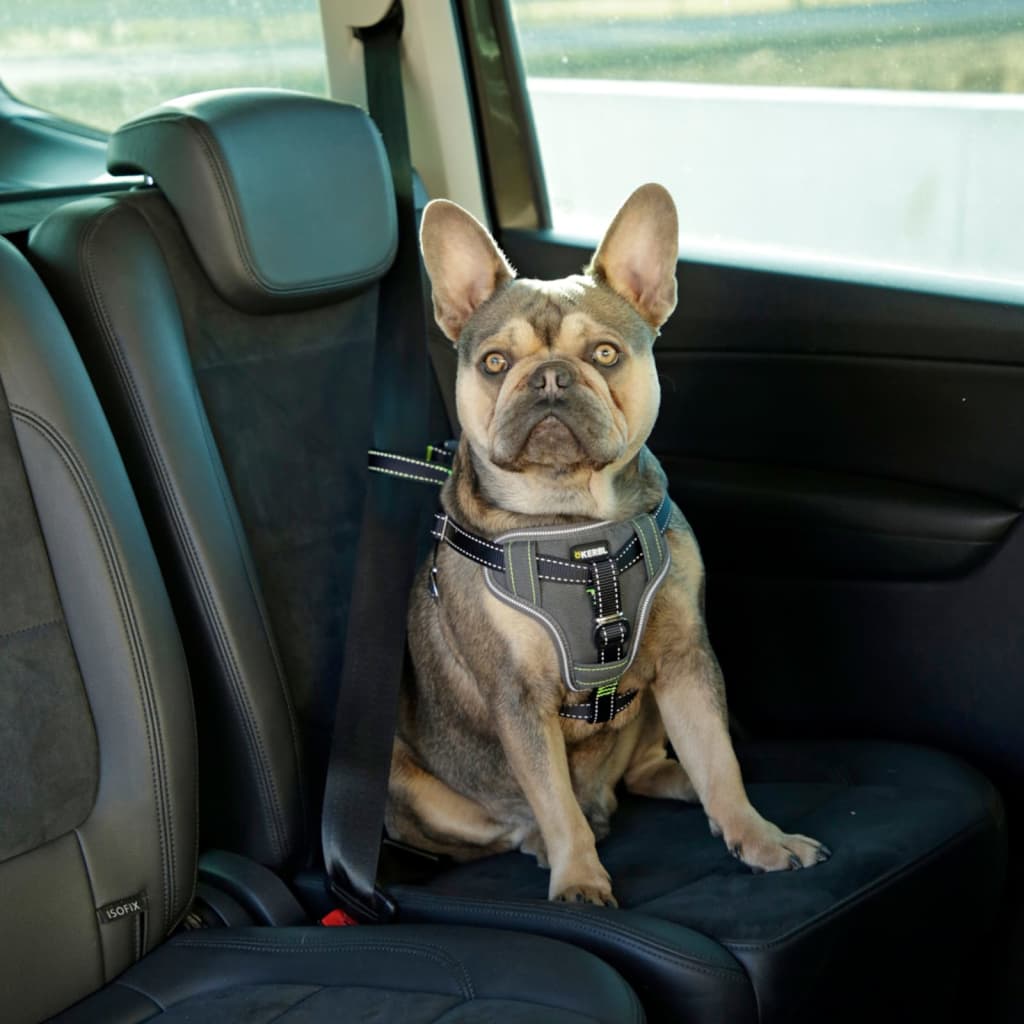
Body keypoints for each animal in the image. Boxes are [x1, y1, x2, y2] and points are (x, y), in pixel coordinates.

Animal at [385, 184, 831, 905]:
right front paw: (578, 876)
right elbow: (552, 798)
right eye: (495, 363)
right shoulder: (519, 698)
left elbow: (718, 759)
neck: (576, 526)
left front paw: (757, 835)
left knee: (649, 769)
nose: (549, 377)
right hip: (408, 781)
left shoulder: (685, 660)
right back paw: (550, 841)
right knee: (517, 822)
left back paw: (682, 785)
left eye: (603, 354)